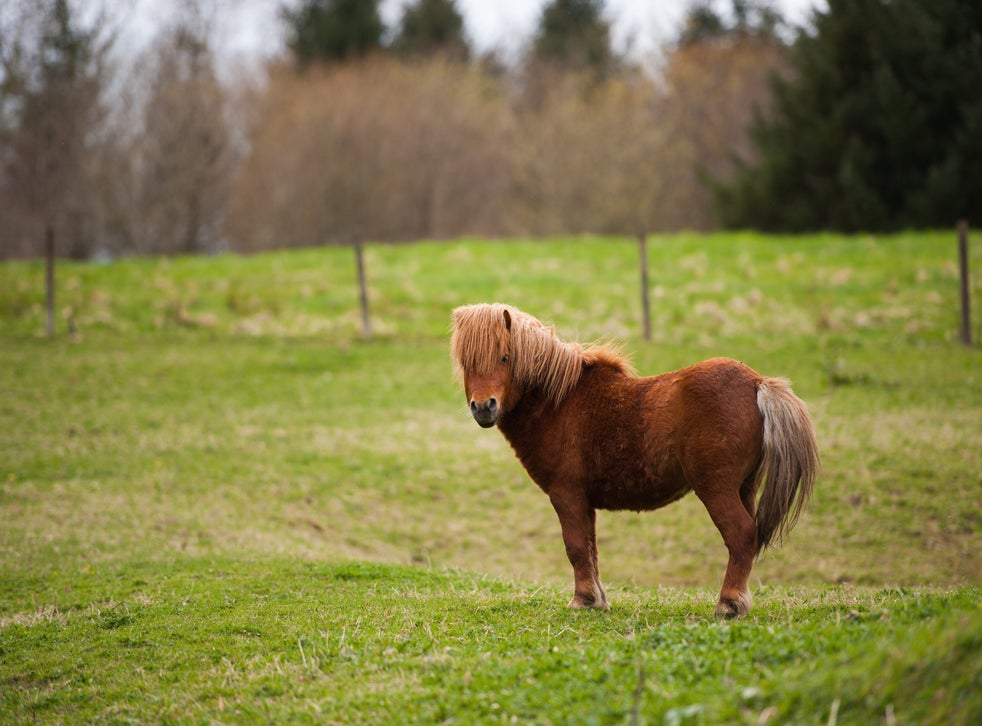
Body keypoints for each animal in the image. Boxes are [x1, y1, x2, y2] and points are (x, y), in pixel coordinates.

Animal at [450, 303, 819, 619]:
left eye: (504, 358)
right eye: (466, 363)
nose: (484, 407)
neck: (559, 401)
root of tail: (757, 384)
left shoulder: (566, 494)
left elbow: (575, 546)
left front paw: (582, 600)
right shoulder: (584, 501)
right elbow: (590, 548)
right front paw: (597, 599)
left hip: (716, 488)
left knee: (741, 535)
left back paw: (728, 605)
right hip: (745, 487)